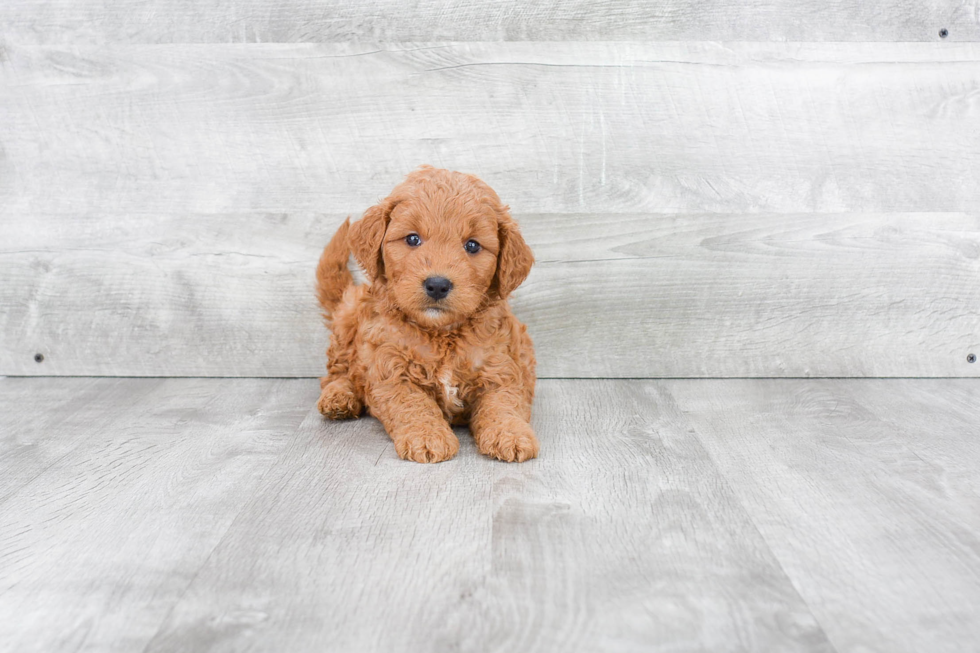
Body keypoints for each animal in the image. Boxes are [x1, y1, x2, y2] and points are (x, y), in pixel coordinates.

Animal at [316, 168, 536, 464]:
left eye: (473, 245)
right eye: (412, 239)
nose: (437, 284)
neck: (442, 333)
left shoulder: (501, 369)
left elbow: (504, 404)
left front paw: (511, 434)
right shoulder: (391, 372)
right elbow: (413, 404)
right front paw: (427, 437)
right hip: (346, 320)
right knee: (336, 373)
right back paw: (339, 397)